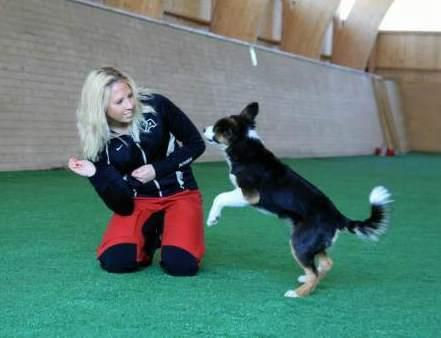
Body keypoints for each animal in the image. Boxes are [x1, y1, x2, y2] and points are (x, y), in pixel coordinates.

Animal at [203, 101, 392, 298]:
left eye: (216, 128)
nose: (203, 129)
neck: (245, 143)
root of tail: (338, 217)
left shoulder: (250, 195)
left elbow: (220, 197)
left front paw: (212, 218)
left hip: (300, 242)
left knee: (314, 272)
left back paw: (297, 293)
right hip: (311, 242)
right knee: (326, 264)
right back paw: (305, 280)